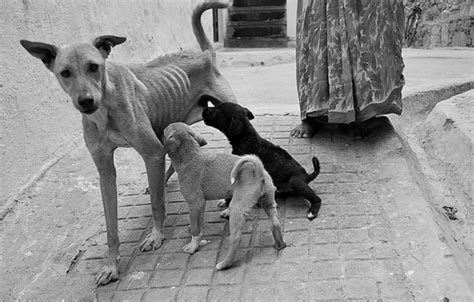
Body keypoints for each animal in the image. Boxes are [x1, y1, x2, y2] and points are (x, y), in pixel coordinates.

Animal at [163, 122, 286, 268]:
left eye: (165, 129)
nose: (162, 128)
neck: (191, 157)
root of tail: (258, 172)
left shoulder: (194, 203)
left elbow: (195, 228)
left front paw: (193, 247)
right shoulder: (200, 204)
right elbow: (199, 223)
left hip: (237, 208)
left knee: (236, 238)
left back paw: (224, 264)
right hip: (268, 202)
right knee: (275, 223)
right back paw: (280, 244)